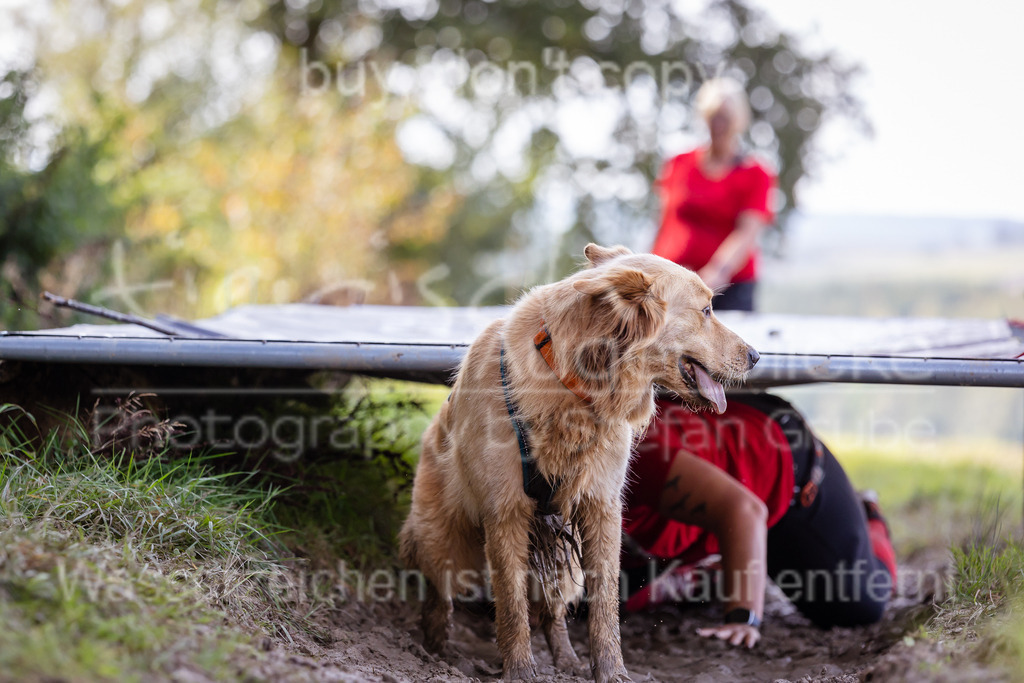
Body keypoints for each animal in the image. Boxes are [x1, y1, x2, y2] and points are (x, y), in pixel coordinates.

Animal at [399, 242, 761, 679]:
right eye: (706, 310)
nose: (757, 356)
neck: (576, 381)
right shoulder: (505, 511)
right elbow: (512, 606)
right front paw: (520, 671)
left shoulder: (601, 506)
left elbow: (604, 604)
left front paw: (611, 672)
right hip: (443, 537)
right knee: (440, 592)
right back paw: (433, 649)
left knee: (553, 612)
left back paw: (566, 660)